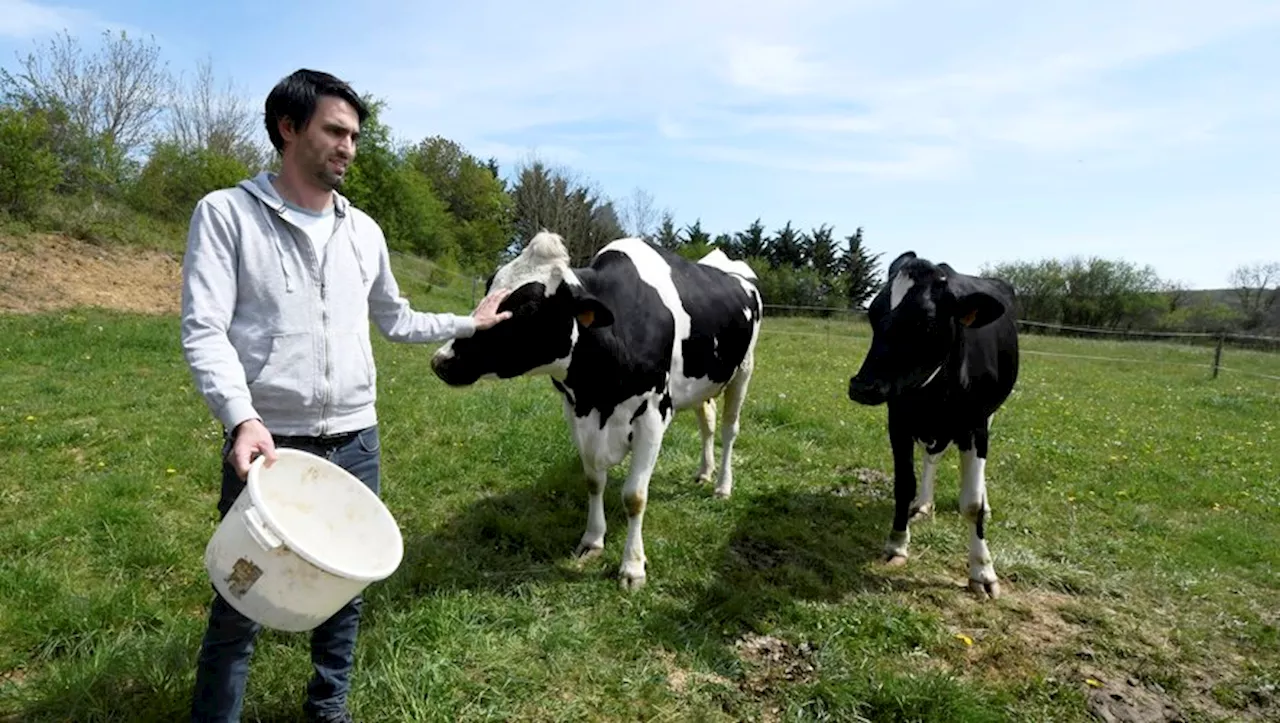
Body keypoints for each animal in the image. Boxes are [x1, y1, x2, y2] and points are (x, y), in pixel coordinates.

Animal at [435, 230, 762, 586]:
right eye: (489, 287)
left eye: (530, 305)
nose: (441, 360)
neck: (599, 392)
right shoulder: (576, 412)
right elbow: (593, 481)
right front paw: (592, 541)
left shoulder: (653, 415)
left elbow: (635, 496)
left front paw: (632, 567)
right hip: (703, 383)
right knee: (708, 422)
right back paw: (704, 472)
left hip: (743, 371)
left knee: (729, 430)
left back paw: (722, 486)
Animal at [849, 250, 1018, 601]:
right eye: (873, 312)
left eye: (925, 323)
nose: (861, 386)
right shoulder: (898, 420)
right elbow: (904, 485)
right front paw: (897, 544)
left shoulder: (976, 426)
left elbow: (972, 503)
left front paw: (982, 571)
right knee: (932, 457)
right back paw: (924, 504)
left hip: (988, 416)